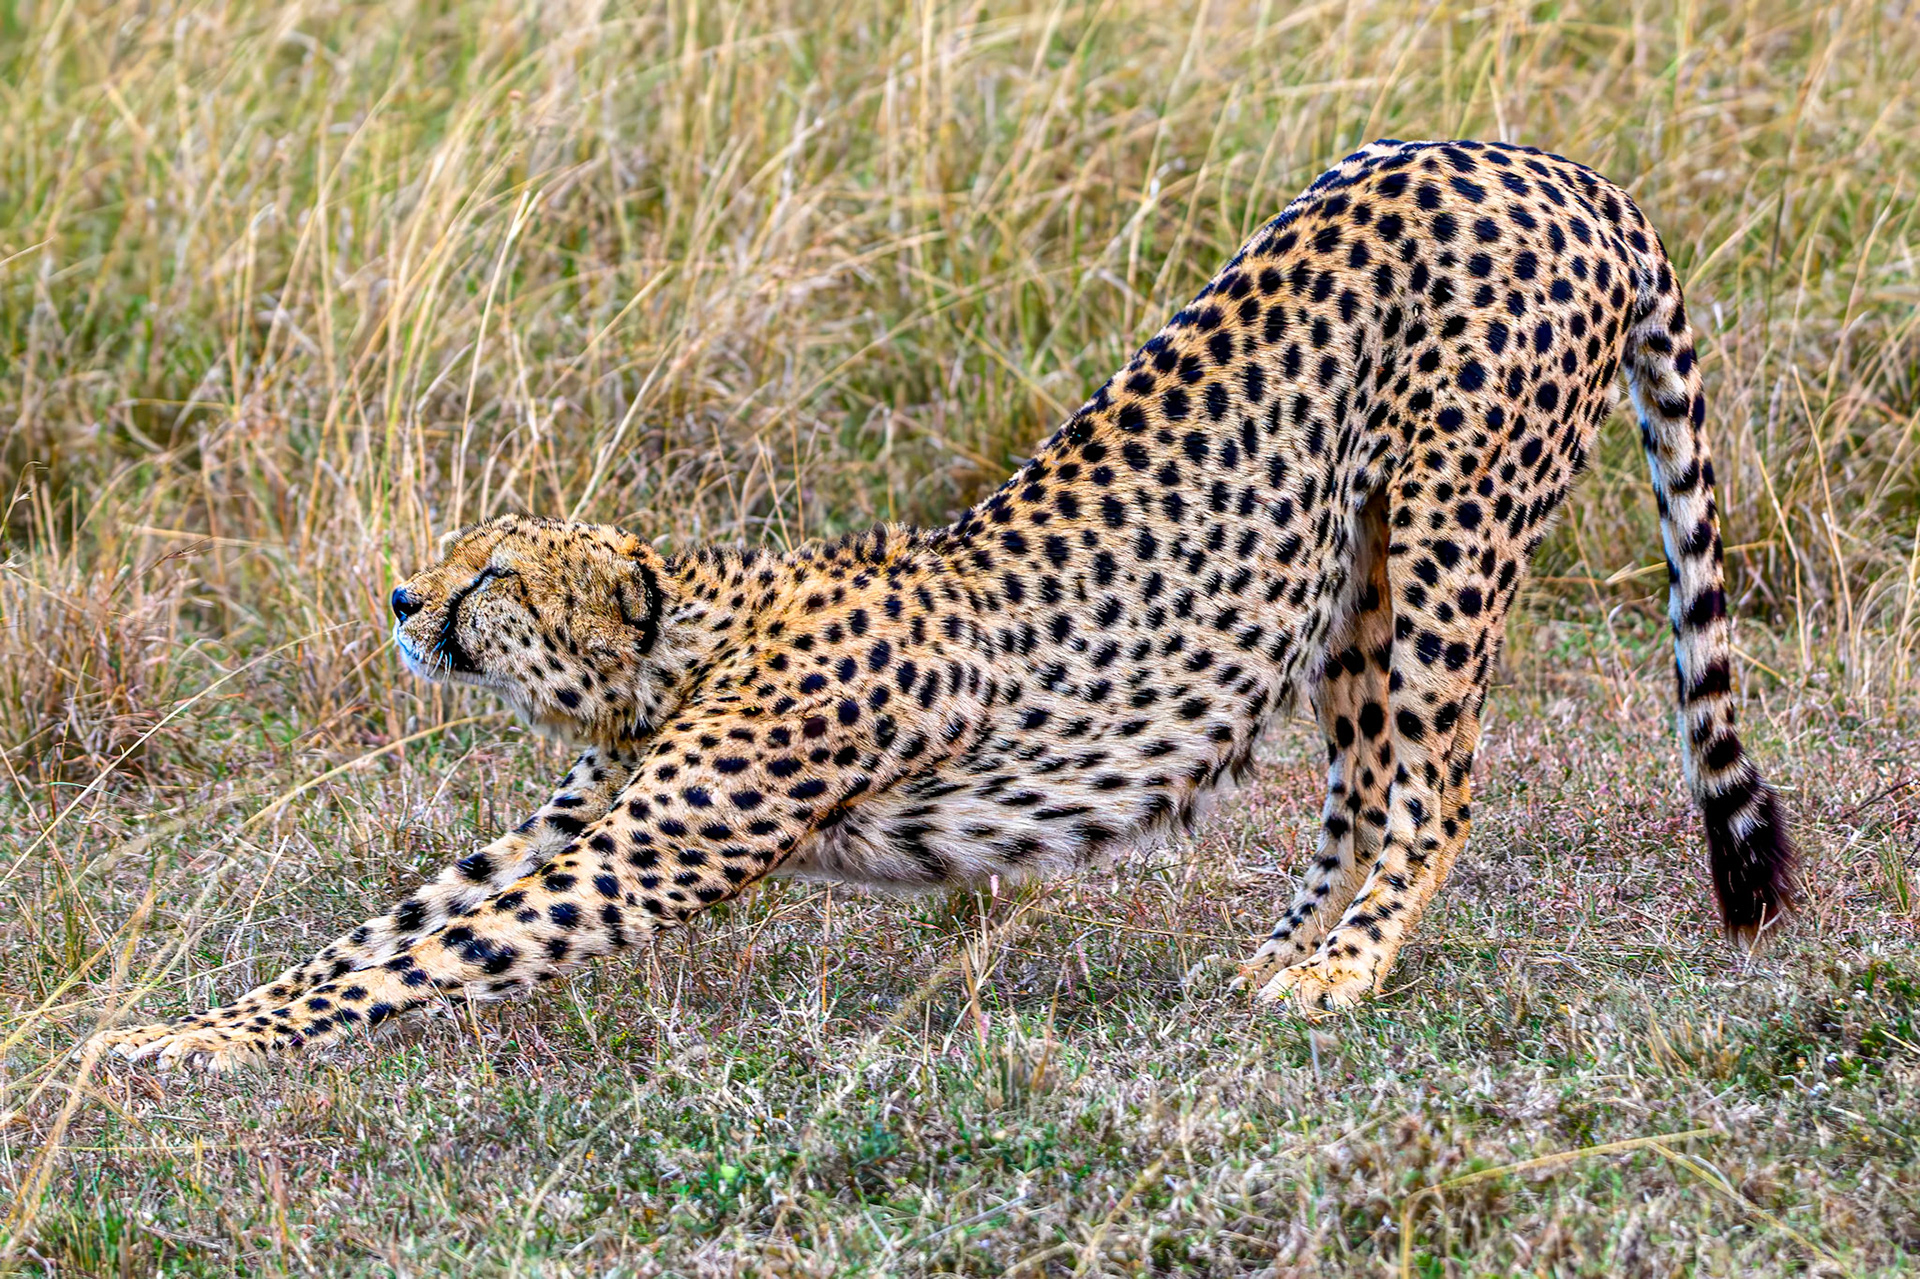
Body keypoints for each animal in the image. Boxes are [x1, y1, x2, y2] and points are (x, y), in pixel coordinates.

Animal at [89, 138, 1795, 1071]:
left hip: (1453, 520)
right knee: (1362, 781)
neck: (686, 636)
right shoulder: (583, 812)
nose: (400, 593)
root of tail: (1551, 163)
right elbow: (379, 925)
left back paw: (1341, 969)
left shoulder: (644, 847)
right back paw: (1274, 954)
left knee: (1438, 781)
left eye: (495, 568)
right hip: (1354, 553)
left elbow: (413, 957)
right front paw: (162, 1024)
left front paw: (177, 1051)